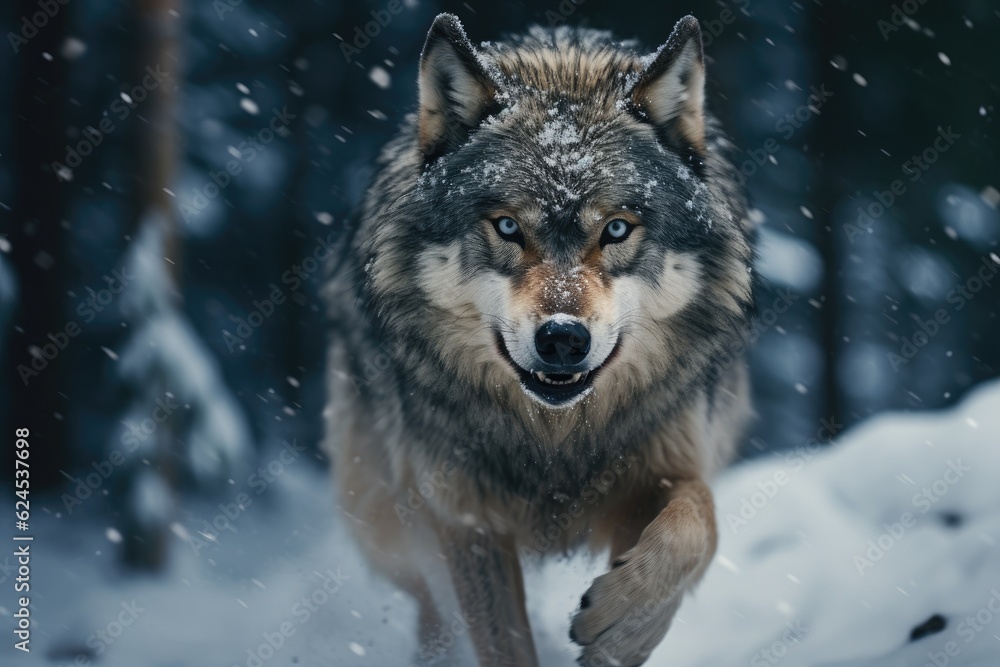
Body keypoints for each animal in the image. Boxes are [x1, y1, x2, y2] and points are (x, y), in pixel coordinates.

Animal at [324, 12, 757, 666]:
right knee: (429, 605)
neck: (556, 443)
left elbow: (694, 527)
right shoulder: (463, 517)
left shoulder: (669, 463)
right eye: (507, 226)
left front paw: (624, 629)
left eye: (616, 229)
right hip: (379, 507)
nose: (561, 339)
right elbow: (500, 640)